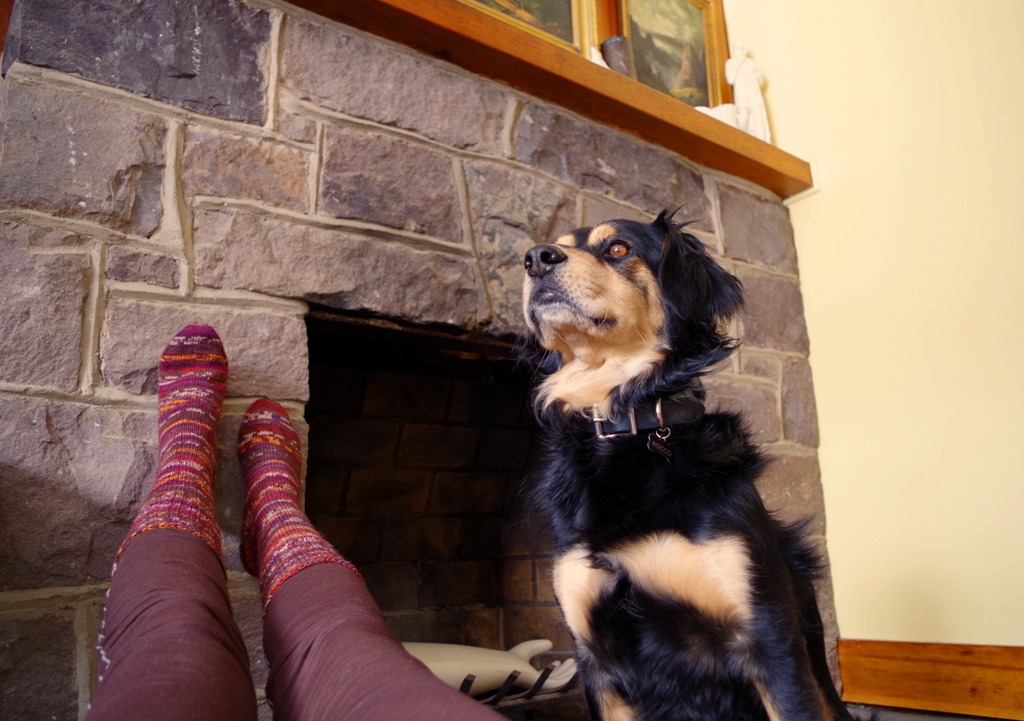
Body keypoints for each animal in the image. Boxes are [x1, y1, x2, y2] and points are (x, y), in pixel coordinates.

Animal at [519, 211, 852, 721]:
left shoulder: (770, 640)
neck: (630, 428)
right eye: (552, 245)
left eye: (618, 249)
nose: (535, 258)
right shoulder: (594, 659)